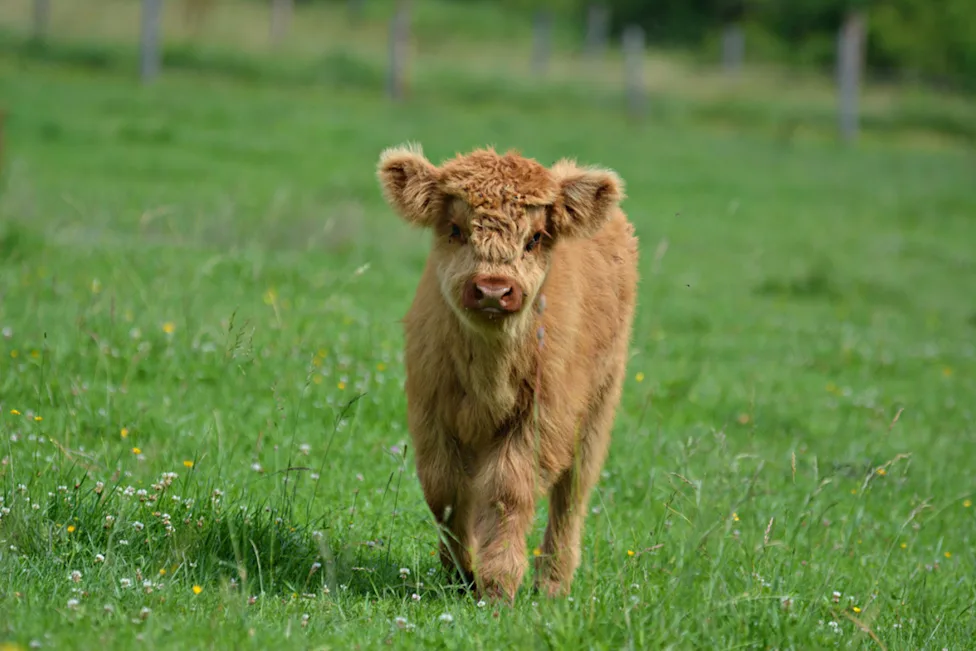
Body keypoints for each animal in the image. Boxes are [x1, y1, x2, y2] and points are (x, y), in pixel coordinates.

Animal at [376, 143, 639, 603]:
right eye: (456, 229)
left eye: (534, 238)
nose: (493, 290)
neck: (488, 372)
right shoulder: (431, 415)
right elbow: (444, 491)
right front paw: (461, 572)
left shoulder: (537, 422)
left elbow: (507, 493)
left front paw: (498, 584)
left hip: (597, 410)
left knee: (571, 496)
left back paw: (552, 584)